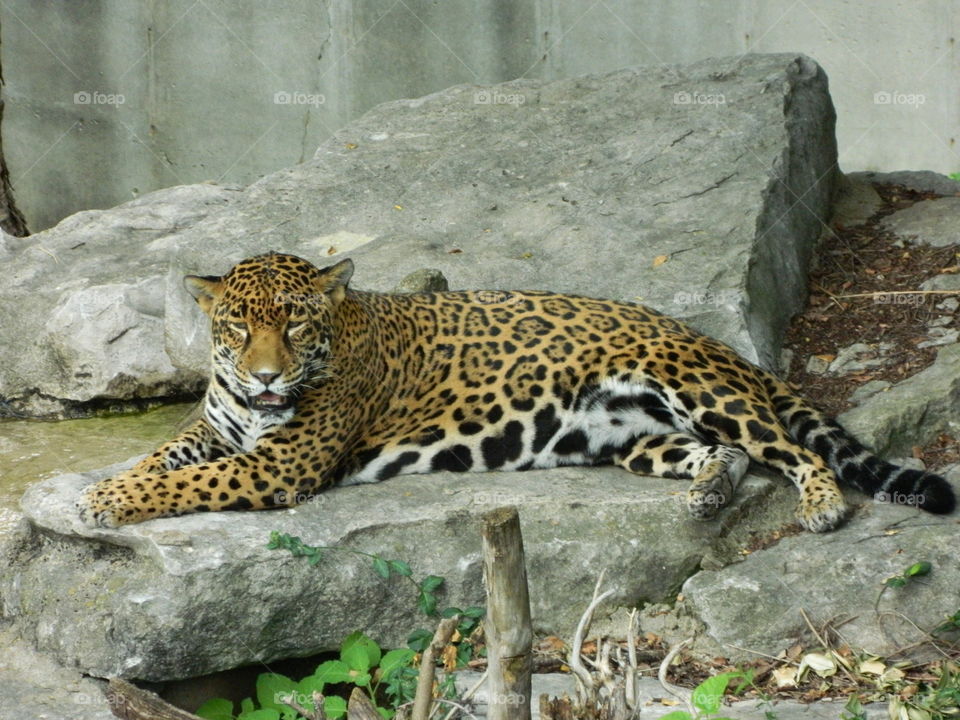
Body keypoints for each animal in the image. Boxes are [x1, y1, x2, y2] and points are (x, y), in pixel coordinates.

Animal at [77, 252, 956, 531]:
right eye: (235, 327)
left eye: (294, 325)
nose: (263, 374)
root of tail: (712, 340)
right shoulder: (222, 431)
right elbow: (166, 457)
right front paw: (105, 488)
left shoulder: (277, 464)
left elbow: (190, 481)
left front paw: (109, 503)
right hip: (637, 437)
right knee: (724, 456)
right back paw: (707, 496)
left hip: (702, 390)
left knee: (795, 453)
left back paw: (823, 507)